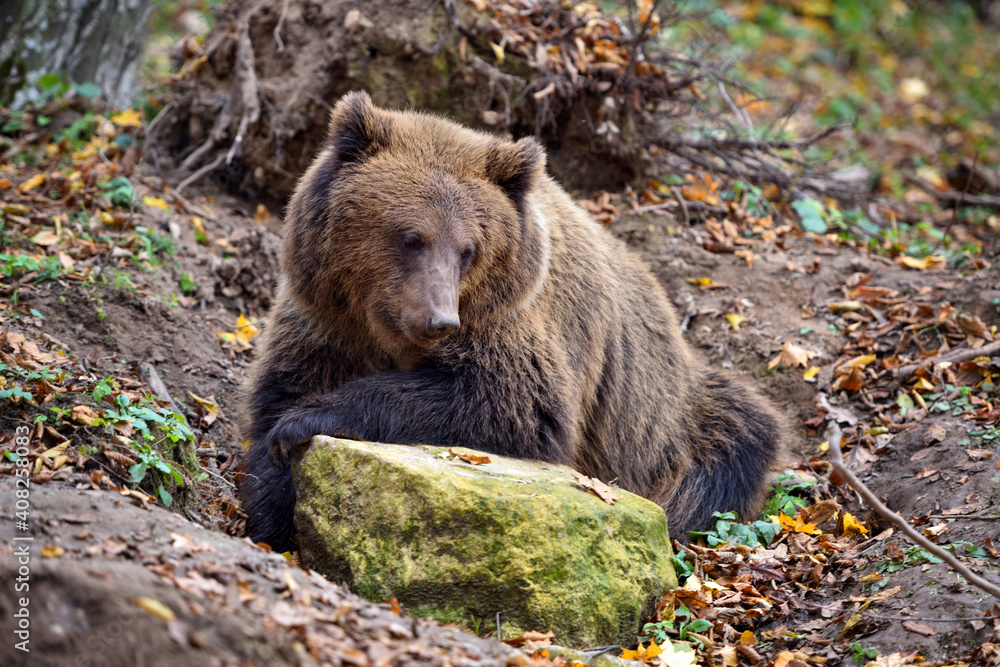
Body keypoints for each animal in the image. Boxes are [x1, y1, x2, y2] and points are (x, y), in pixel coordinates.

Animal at [238, 91, 785, 551]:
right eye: (411, 237)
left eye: (468, 249)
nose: (440, 320)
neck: (383, 329)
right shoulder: (326, 320)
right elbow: (282, 390)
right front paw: (273, 502)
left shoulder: (510, 322)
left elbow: (511, 403)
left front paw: (303, 423)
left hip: (662, 420)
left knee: (732, 444)